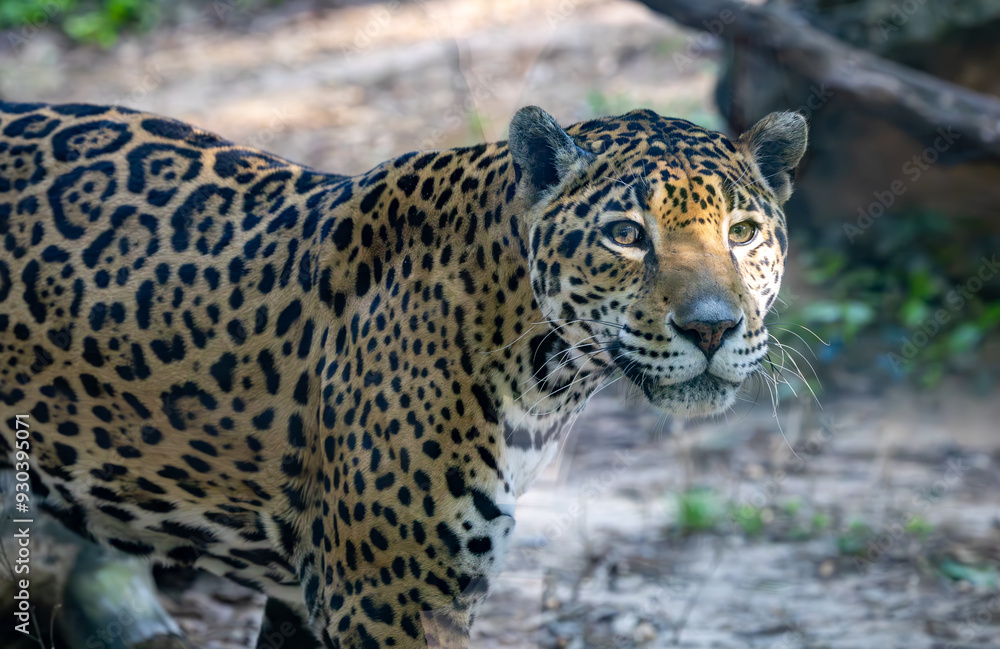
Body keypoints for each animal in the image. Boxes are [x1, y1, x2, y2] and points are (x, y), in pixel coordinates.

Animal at [0, 99, 806, 648]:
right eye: (626, 235)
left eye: (742, 232)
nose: (711, 327)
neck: (546, 377)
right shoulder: (388, 599)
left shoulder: (309, 596)